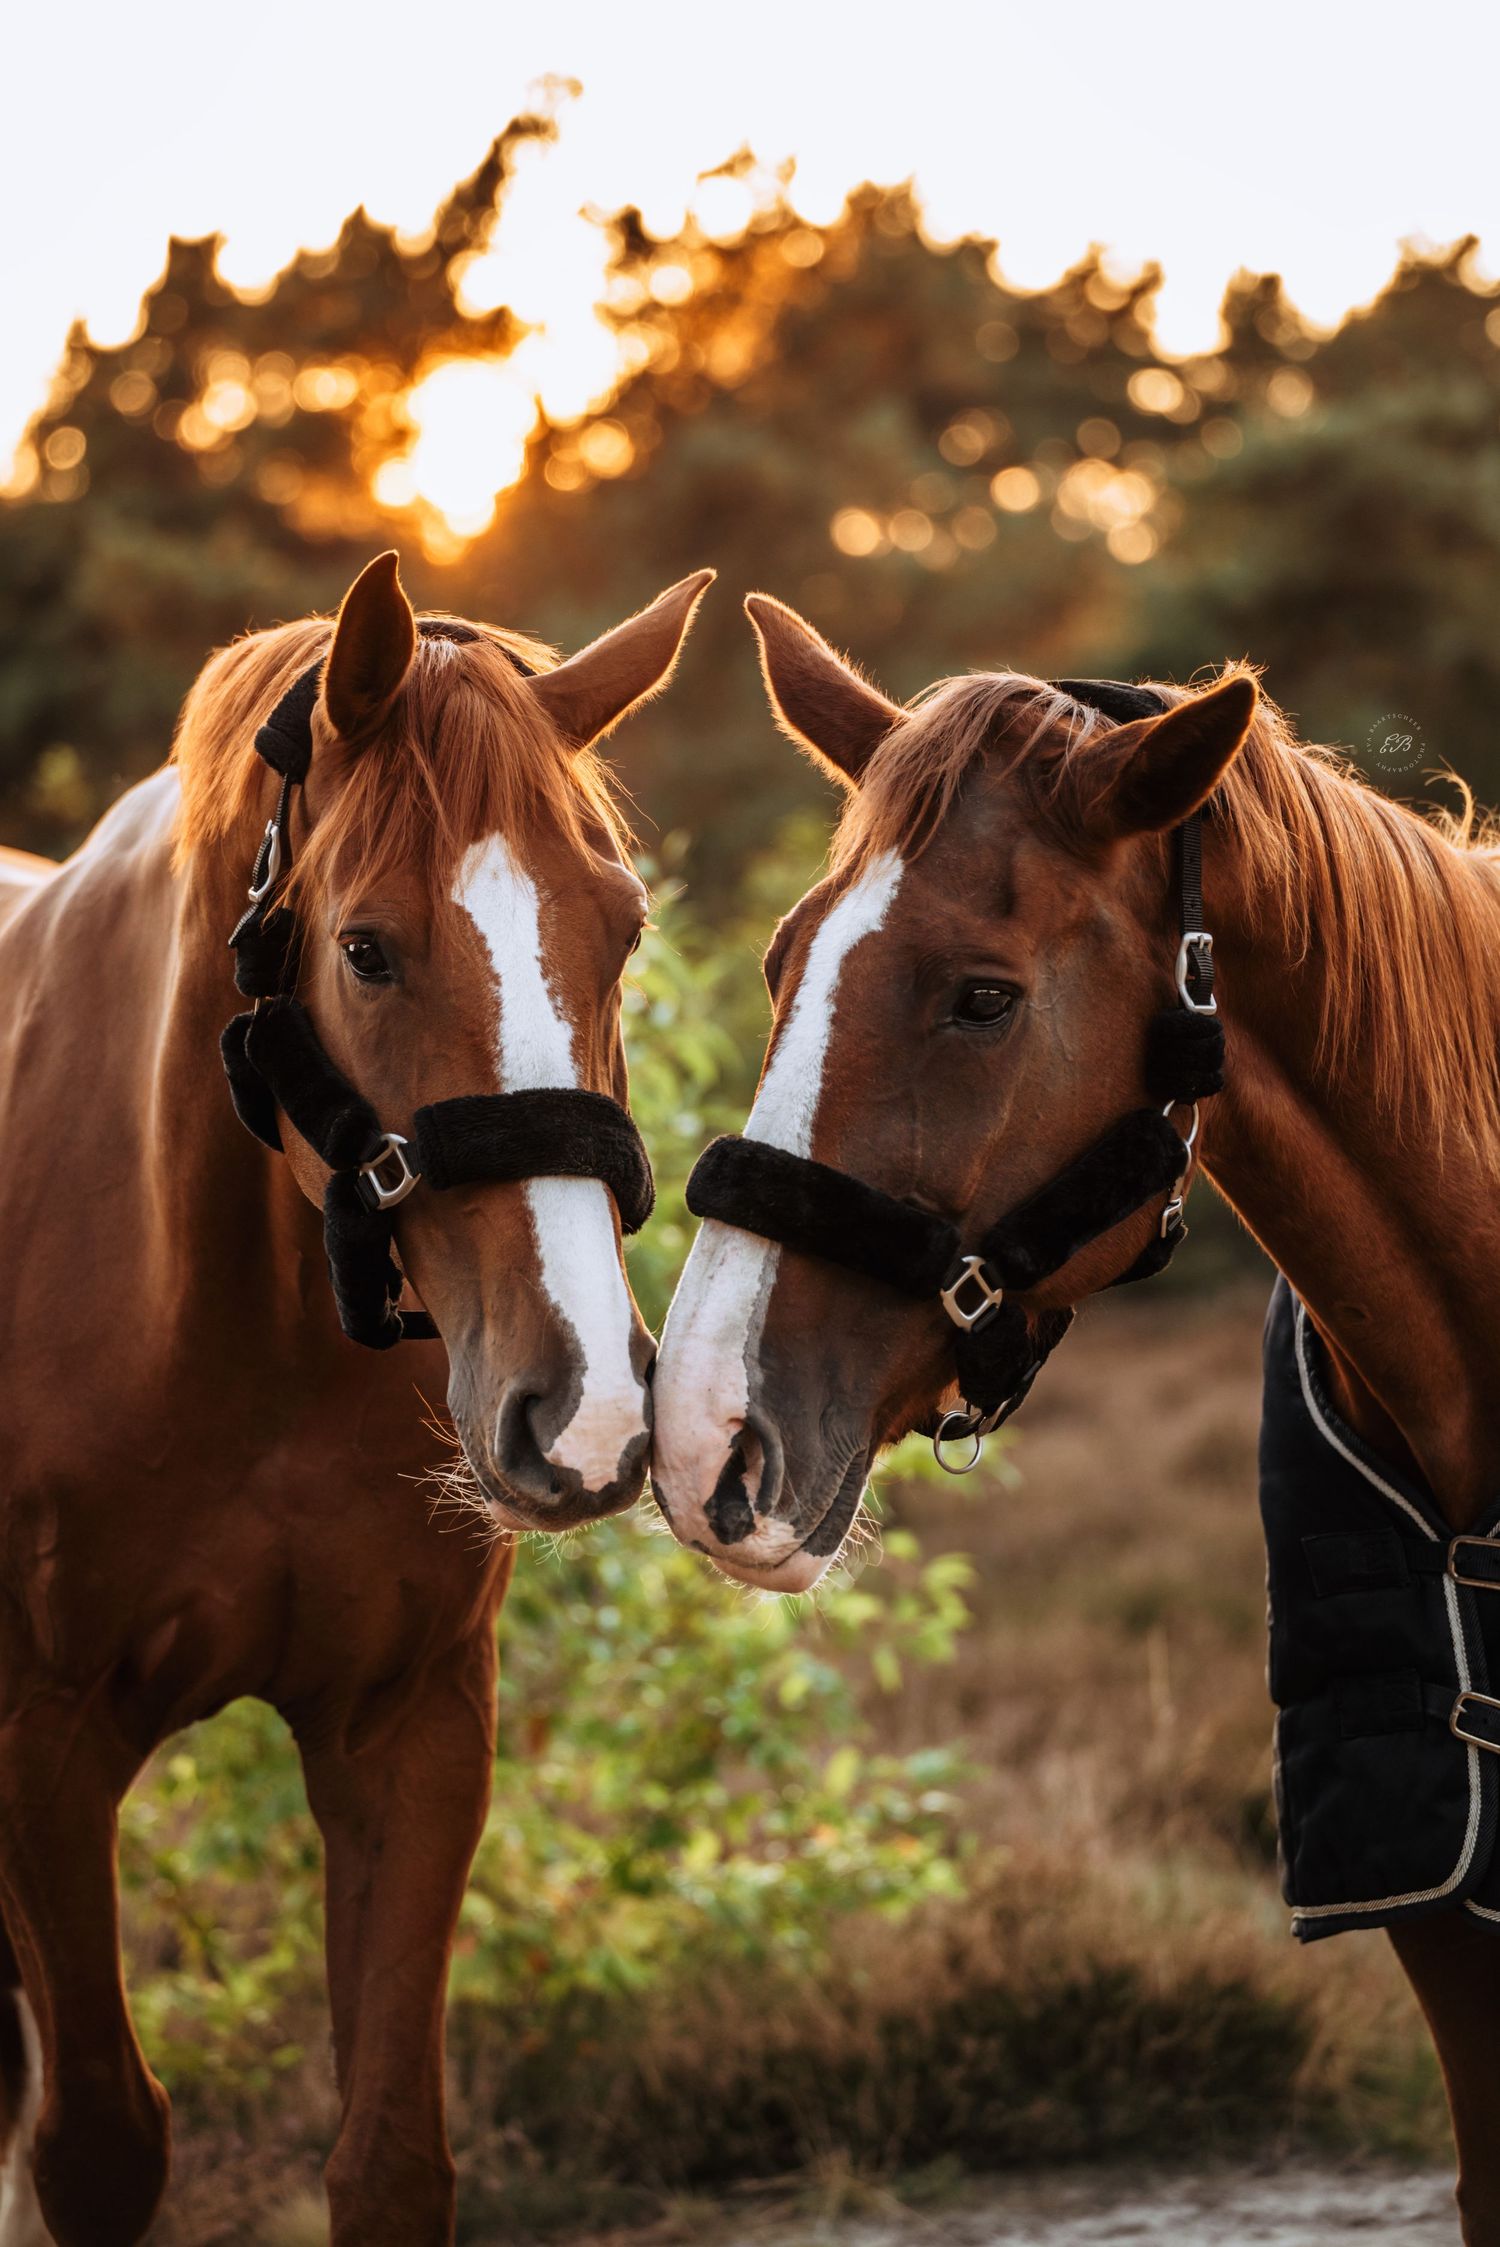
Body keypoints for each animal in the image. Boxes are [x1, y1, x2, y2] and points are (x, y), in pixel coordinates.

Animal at [0, 549, 711, 2247]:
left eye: (624, 927)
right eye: (369, 948)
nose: (584, 1411)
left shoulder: (411, 1722)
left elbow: (389, 2154)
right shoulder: (37, 1742)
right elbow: (94, 2140)